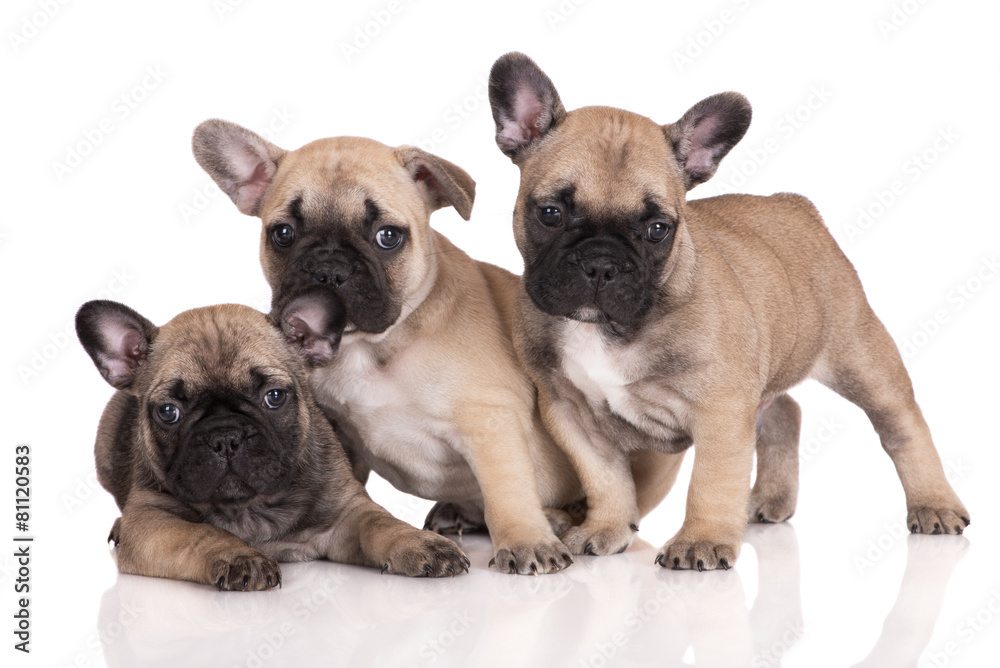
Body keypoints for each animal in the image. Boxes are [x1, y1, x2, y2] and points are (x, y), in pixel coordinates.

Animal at [77, 290, 468, 592]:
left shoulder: (346, 511)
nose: (225, 436)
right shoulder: (151, 522)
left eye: (275, 397)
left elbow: (380, 522)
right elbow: (198, 534)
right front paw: (238, 555)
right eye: (168, 412)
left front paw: (420, 542)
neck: (250, 507)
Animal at [189, 120, 688, 576]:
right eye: (283, 234)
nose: (329, 269)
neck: (373, 348)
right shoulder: (338, 431)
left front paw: (526, 542)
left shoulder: (491, 424)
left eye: (388, 236)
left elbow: (507, 493)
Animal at [488, 54, 972, 572]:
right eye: (550, 213)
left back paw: (934, 504)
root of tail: (797, 207)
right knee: (785, 410)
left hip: (859, 356)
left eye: (658, 229)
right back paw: (773, 497)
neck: (610, 329)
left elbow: (711, 481)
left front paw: (700, 540)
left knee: (903, 425)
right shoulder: (571, 412)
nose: (601, 263)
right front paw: (608, 528)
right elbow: (606, 477)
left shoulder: (721, 410)